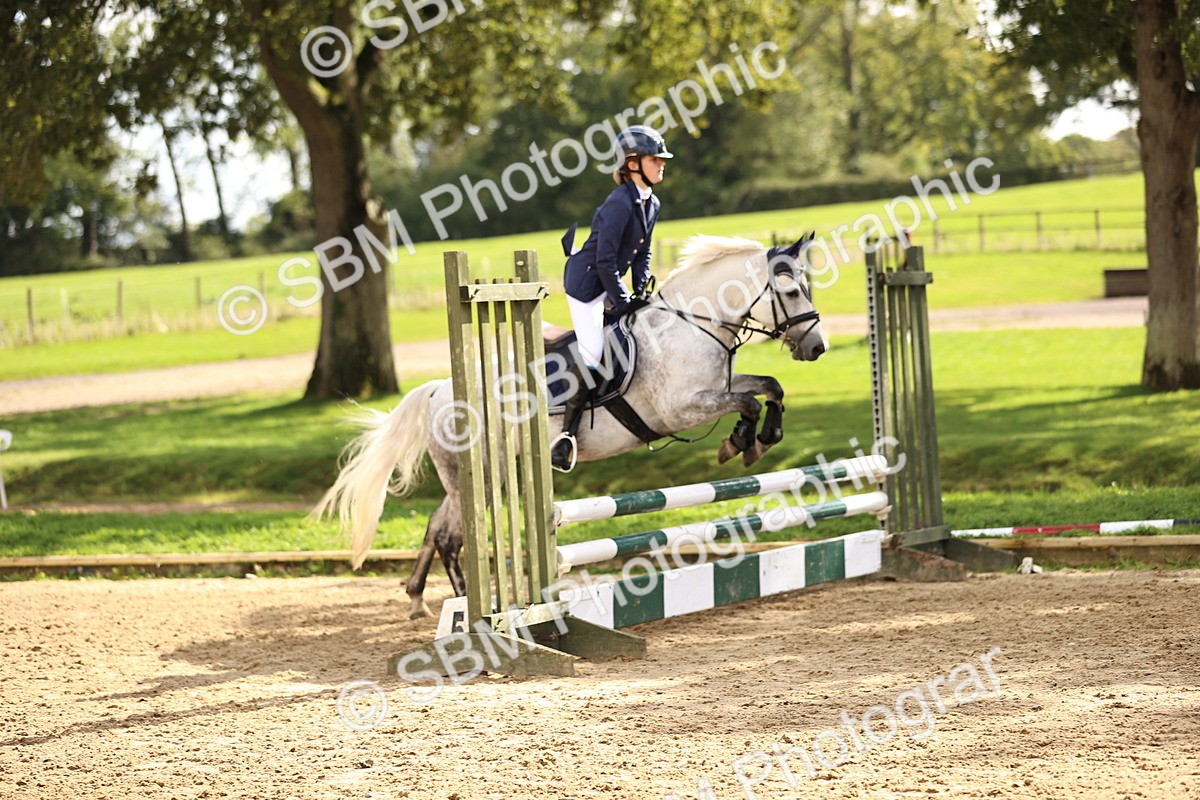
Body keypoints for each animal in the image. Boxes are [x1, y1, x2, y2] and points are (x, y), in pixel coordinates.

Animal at [315, 234, 828, 618]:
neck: (690, 324)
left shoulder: (718, 387)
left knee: (437, 528)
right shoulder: (683, 407)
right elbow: (747, 402)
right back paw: (467, 609)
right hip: (482, 476)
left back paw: (422, 599)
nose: (817, 347)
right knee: (452, 536)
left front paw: (764, 438)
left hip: (474, 476)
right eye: (790, 291)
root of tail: (441, 388)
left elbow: (769, 387)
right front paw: (741, 442)